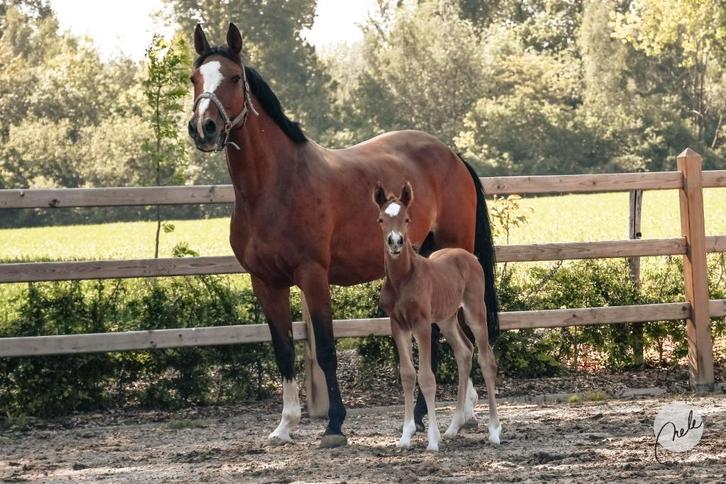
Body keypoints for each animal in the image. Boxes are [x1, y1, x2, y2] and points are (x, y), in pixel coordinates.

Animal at [374, 182, 501, 451]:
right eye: (381, 219)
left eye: (407, 219)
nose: (395, 242)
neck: (404, 279)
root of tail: (469, 256)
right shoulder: (397, 325)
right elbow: (407, 375)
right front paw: (405, 437)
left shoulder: (422, 324)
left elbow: (427, 378)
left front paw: (432, 440)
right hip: (447, 319)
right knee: (464, 352)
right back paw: (453, 427)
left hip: (475, 311)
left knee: (487, 360)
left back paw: (494, 431)